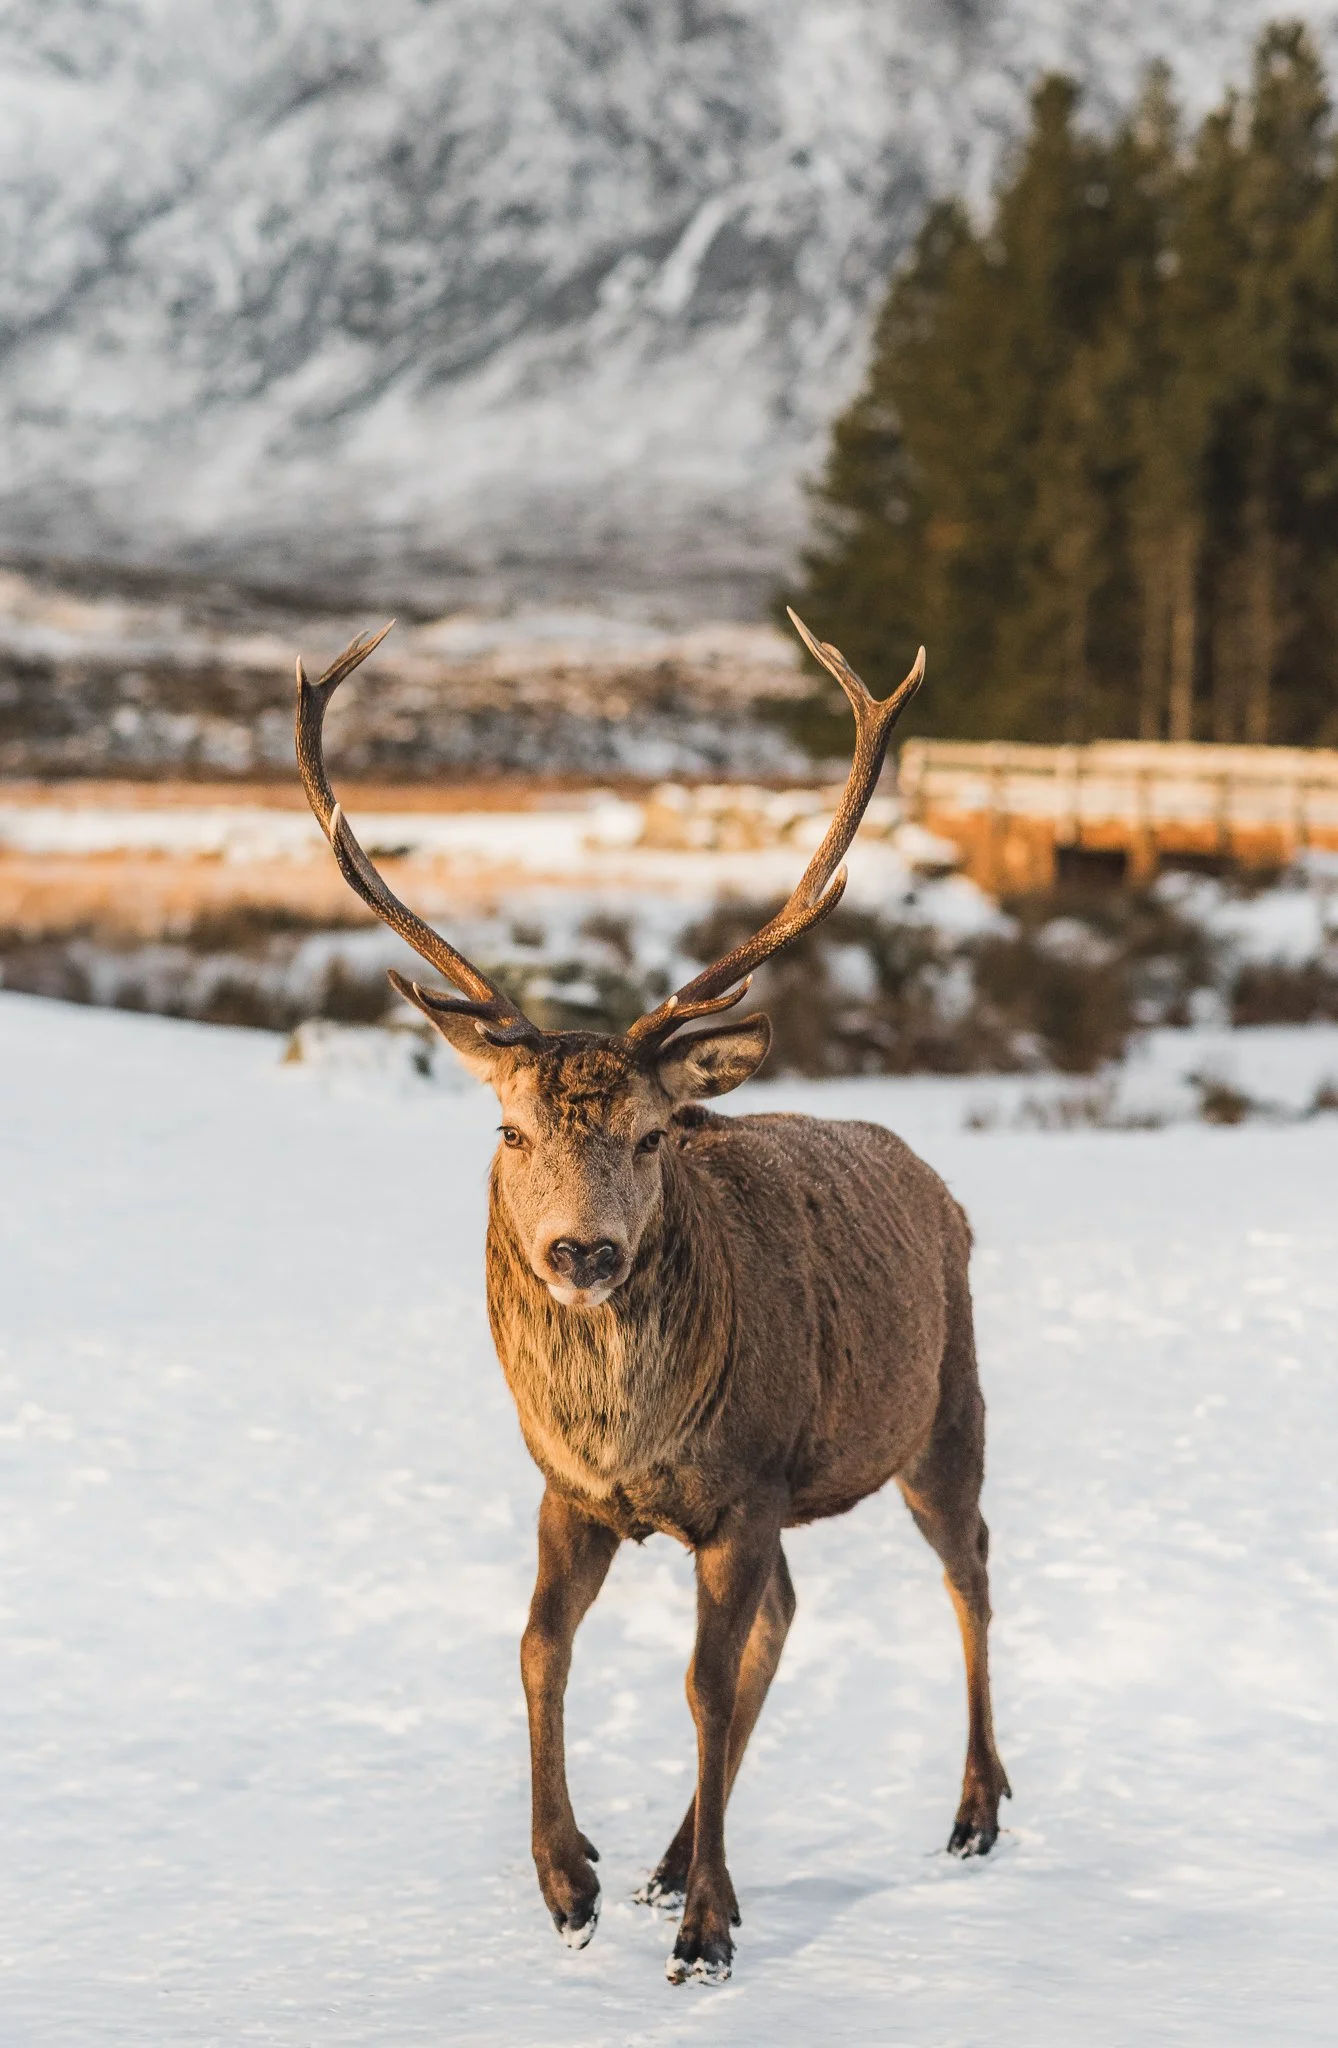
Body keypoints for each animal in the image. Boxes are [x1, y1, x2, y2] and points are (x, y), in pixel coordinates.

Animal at [293, 611, 1010, 1985]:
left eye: (652, 1132)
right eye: (512, 1128)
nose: (582, 1252)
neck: (635, 1436)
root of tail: (937, 1181)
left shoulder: (747, 1482)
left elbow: (700, 1683)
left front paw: (710, 1929)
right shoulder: (569, 1488)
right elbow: (539, 1643)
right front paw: (568, 1878)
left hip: (944, 1406)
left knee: (969, 1568)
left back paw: (974, 1809)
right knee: (788, 1613)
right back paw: (673, 1854)